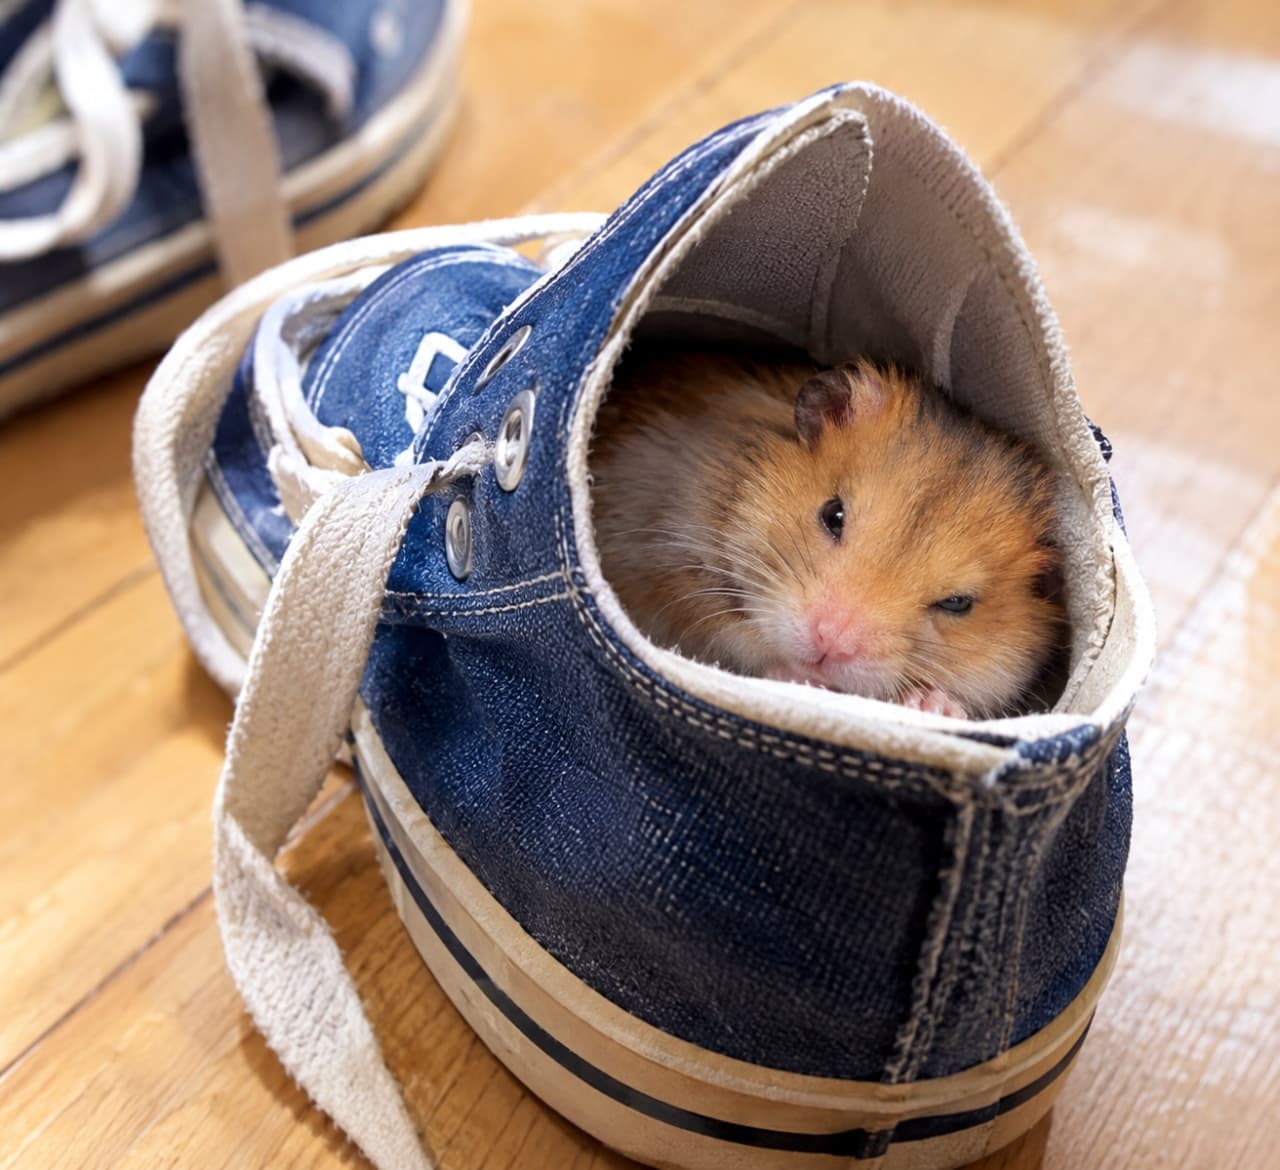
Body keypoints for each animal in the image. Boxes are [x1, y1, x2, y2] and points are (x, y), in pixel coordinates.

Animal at [589, 346, 1066, 719]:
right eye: (833, 514)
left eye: (957, 603)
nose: (829, 645)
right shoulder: (663, 567)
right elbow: (731, 638)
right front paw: (799, 679)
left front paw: (932, 705)